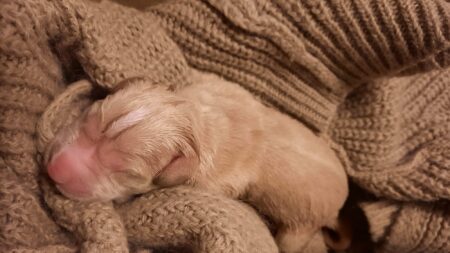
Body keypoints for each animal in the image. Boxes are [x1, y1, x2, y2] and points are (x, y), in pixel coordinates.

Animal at [44, 72, 348, 252]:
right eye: (89, 118)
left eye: (125, 172)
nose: (55, 170)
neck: (194, 123)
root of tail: (338, 210)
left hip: (300, 227)